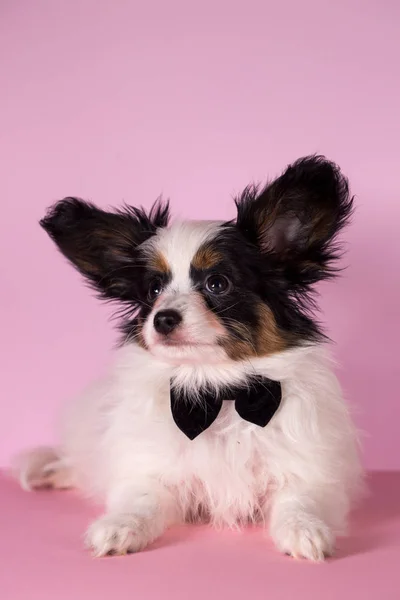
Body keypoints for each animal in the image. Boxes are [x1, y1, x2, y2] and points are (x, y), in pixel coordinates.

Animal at [14, 157, 362, 560]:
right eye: (153, 290)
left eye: (217, 283)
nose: (162, 319)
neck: (217, 389)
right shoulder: (149, 469)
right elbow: (140, 501)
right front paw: (117, 527)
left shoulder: (309, 471)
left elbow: (300, 501)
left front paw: (305, 531)